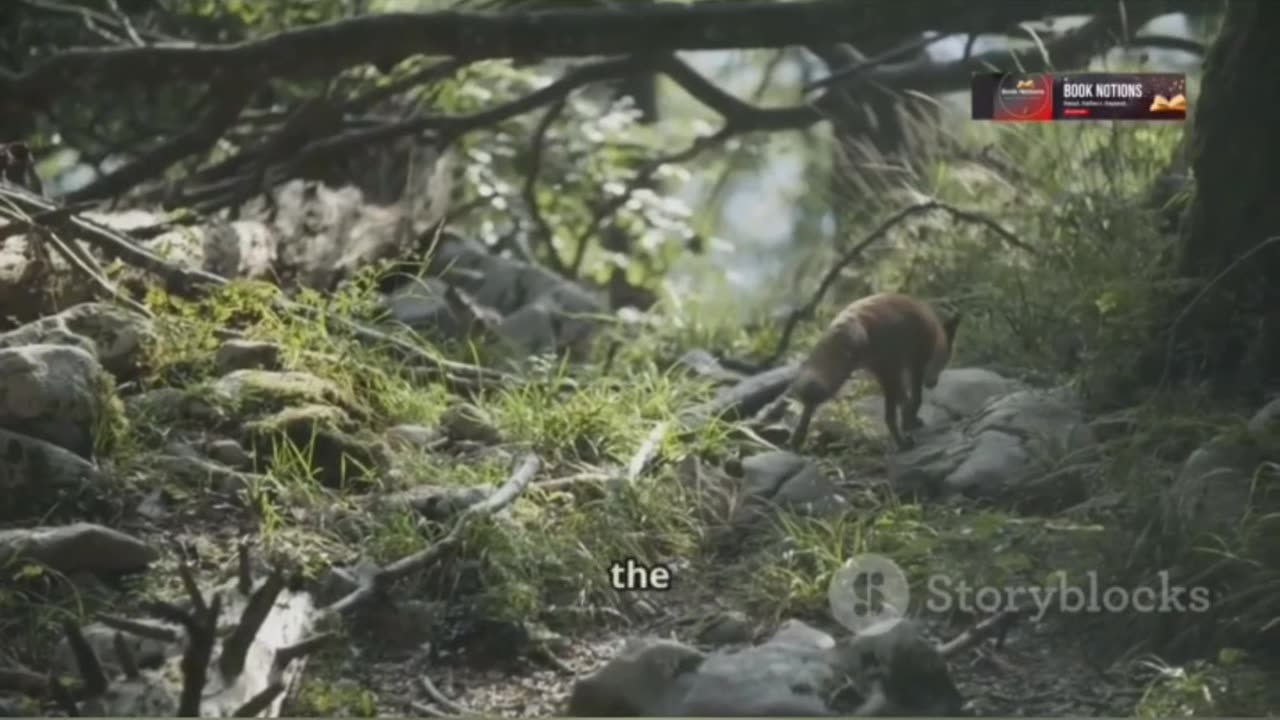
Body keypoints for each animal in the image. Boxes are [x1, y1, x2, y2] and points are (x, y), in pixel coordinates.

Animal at [785, 293, 961, 451]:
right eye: (945, 362)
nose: (933, 384)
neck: (934, 331)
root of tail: (849, 316)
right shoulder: (912, 366)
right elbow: (915, 399)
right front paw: (910, 423)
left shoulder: (889, 372)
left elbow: (905, 400)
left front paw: (909, 421)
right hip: (852, 373)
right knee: (889, 417)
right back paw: (903, 444)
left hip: (853, 372)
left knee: (809, 399)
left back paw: (796, 439)